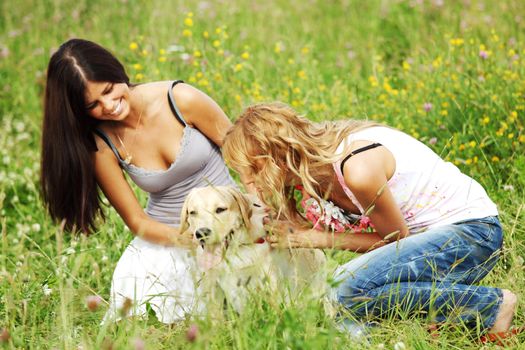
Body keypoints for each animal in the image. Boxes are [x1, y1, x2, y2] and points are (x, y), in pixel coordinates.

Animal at [181, 187, 328, 314]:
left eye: (220, 209)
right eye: (192, 212)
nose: (202, 233)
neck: (235, 250)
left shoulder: (270, 279)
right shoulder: (212, 285)